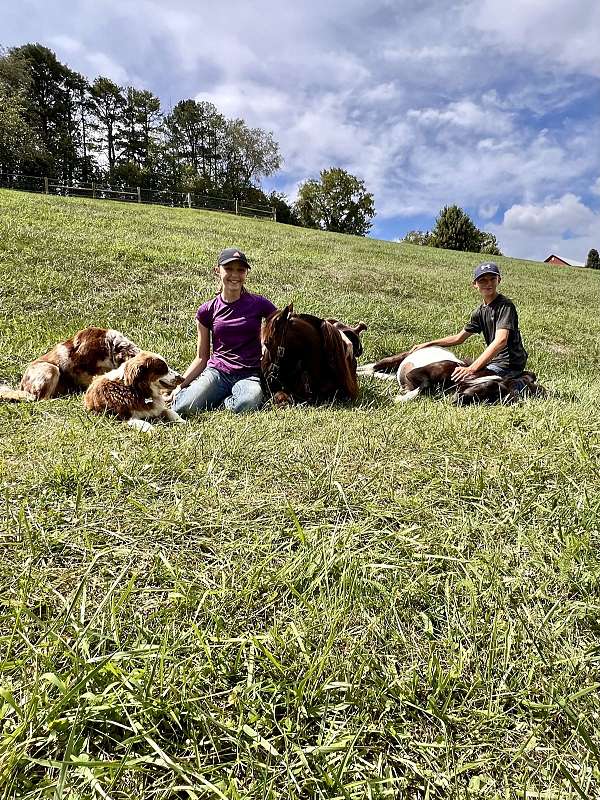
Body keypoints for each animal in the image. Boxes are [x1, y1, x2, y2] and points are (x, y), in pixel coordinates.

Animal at [360, 346, 544, 406]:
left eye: (491, 397)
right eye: (488, 388)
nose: (458, 399)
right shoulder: (416, 373)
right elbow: (424, 386)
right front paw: (402, 398)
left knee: (375, 373)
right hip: (396, 359)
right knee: (372, 366)